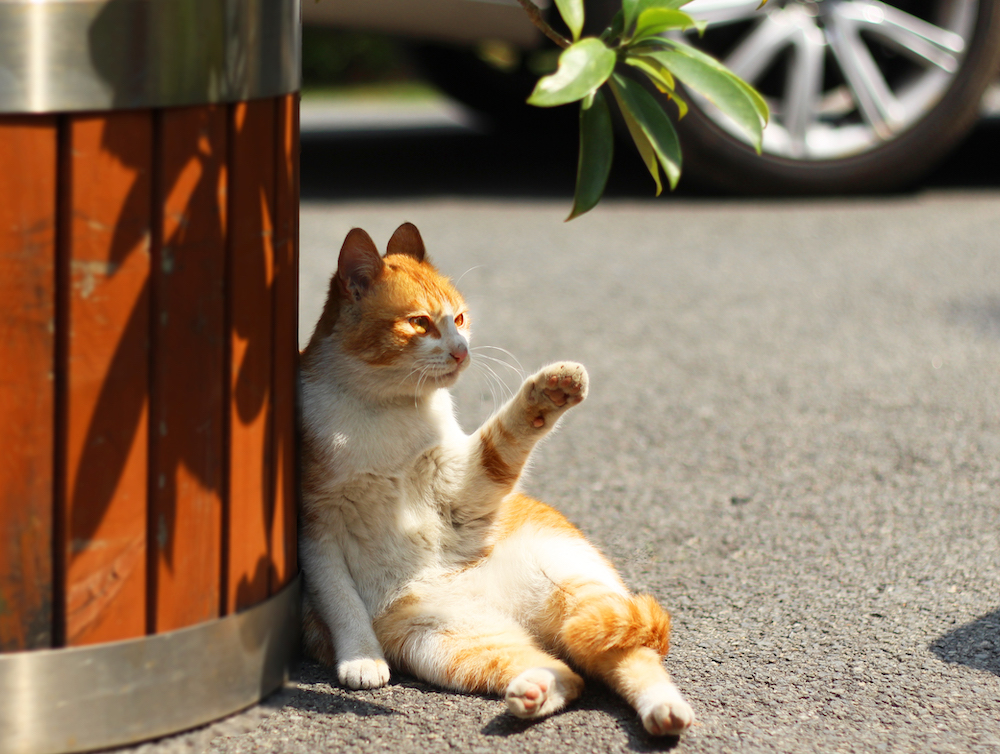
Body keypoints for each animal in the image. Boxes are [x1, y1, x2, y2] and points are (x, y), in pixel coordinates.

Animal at [298, 223, 696, 736]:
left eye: (460, 318)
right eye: (420, 323)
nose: (462, 350)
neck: (383, 411)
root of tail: (518, 615)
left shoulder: (464, 486)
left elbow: (505, 437)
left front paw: (549, 392)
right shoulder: (317, 532)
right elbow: (340, 601)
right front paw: (362, 660)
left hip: (572, 583)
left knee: (625, 653)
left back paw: (665, 710)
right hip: (451, 643)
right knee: (569, 672)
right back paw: (536, 691)